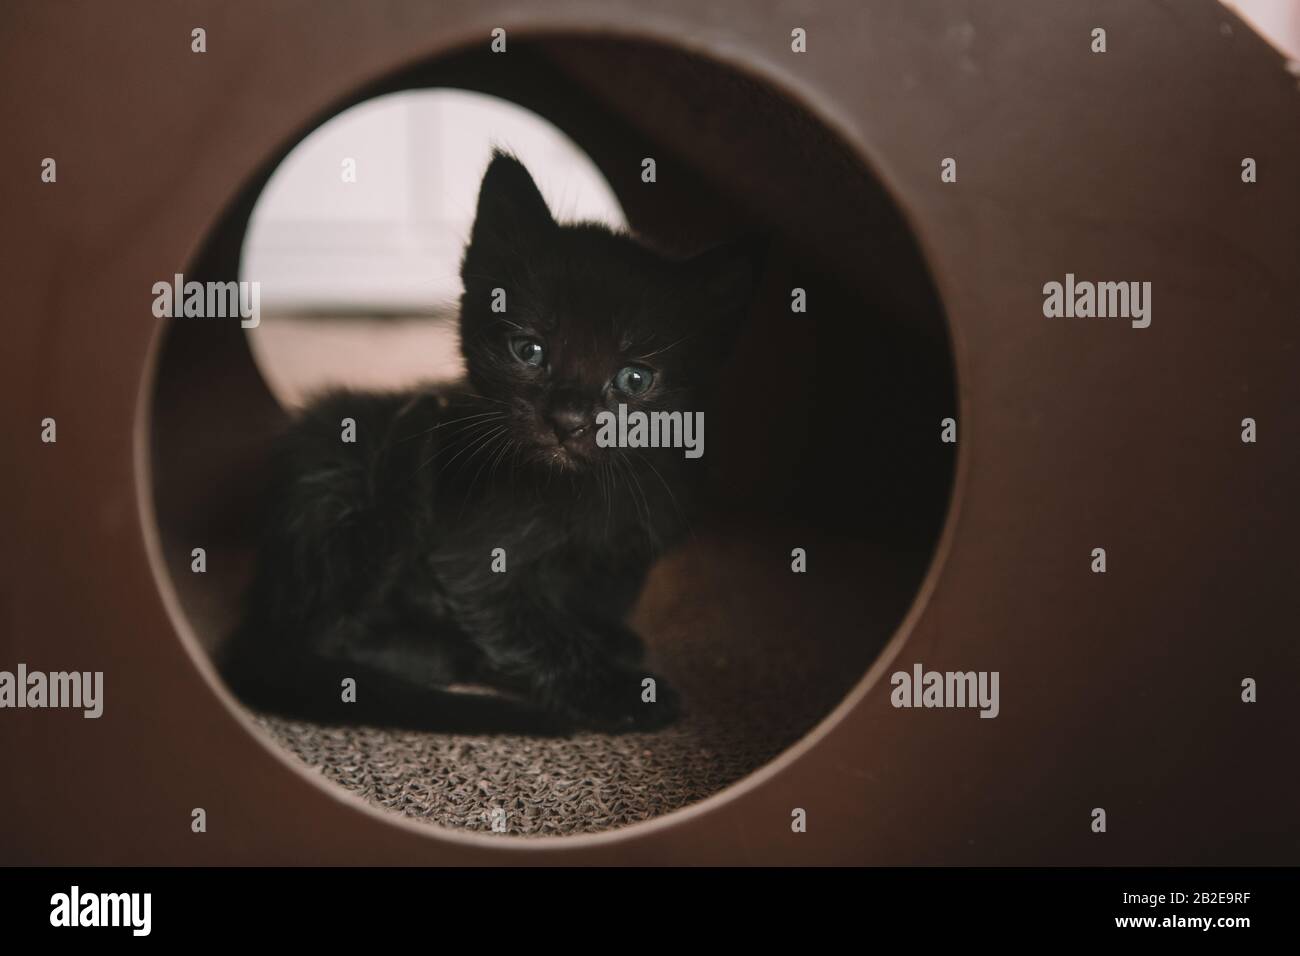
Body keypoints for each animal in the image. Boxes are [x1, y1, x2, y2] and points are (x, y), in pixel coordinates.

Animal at [219, 151, 759, 733]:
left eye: (635, 379)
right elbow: (535, 632)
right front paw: (620, 692)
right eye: (529, 350)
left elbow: (594, 601)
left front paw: (610, 639)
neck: (585, 494)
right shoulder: (472, 561)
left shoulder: (638, 541)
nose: (568, 420)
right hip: (335, 463)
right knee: (331, 626)